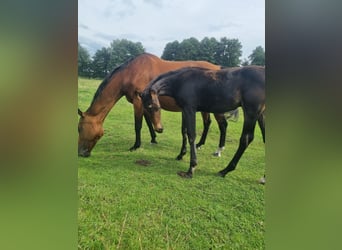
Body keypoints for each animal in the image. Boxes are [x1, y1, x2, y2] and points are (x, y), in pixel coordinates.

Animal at [78, 53, 234, 156]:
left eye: (79, 129)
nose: (81, 153)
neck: (131, 72)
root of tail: (219, 67)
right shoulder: (146, 103)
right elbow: (148, 121)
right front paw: (153, 139)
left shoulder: (138, 101)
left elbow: (138, 125)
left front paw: (136, 146)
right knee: (208, 123)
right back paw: (200, 144)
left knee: (223, 125)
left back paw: (219, 150)